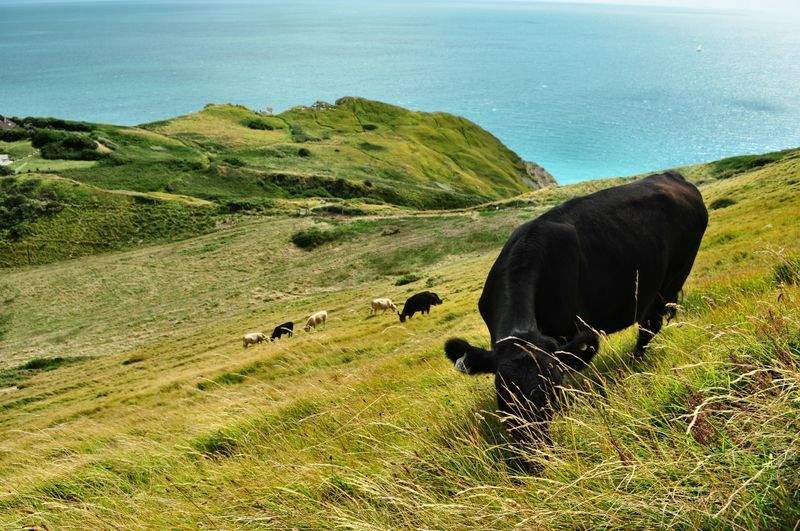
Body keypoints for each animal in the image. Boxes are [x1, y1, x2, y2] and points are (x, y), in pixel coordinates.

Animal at [443, 172, 707, 448]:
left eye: (552, 387)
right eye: (502, 389)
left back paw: (634, 362)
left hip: (672, 278)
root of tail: (671, 176)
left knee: (649, 326)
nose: (533, 446)